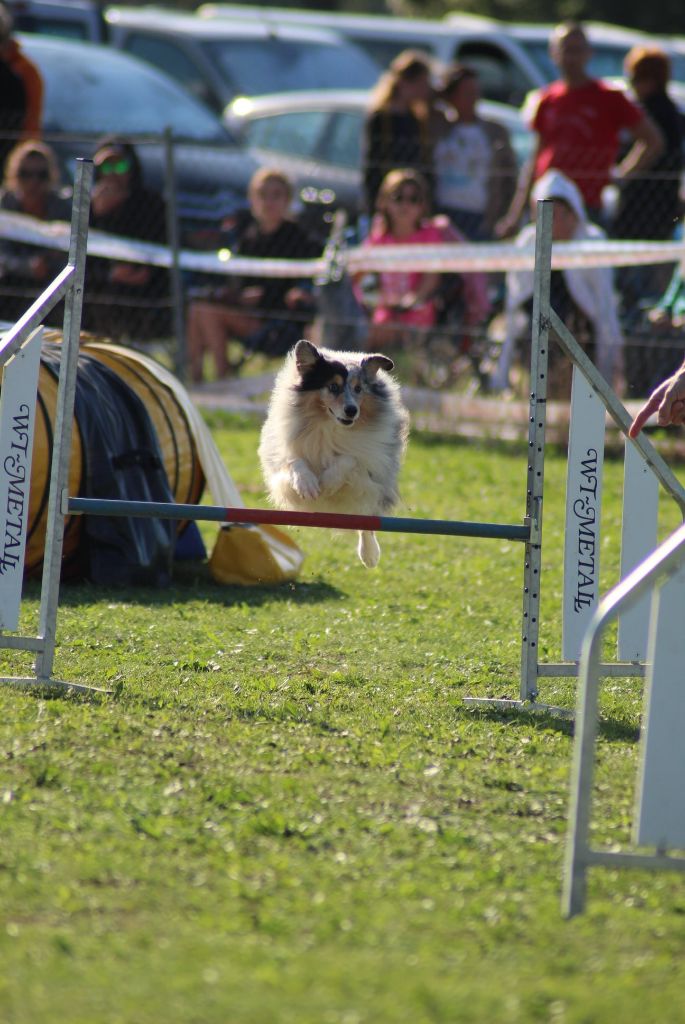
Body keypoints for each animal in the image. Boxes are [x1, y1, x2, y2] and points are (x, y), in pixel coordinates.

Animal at [255, 342, 405, 569]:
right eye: (333, 387)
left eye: (358, 388)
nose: (351, 411)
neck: (330, 426)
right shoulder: (282, 451)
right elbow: (294, 461)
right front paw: (308, 486)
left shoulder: (371, 461)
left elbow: (349, 459)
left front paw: (327, 483)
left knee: (367, 518)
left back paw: (369, 555)